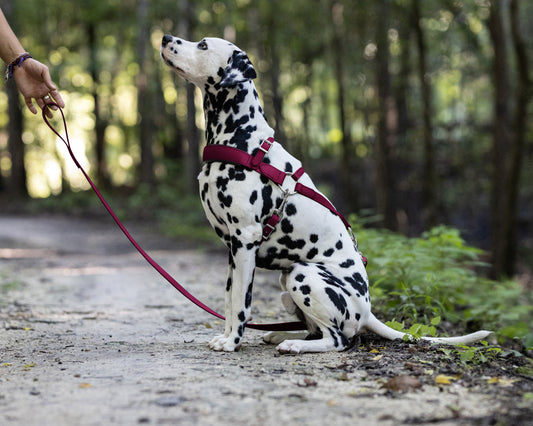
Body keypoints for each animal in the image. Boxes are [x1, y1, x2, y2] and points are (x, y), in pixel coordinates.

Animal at [159, 35, 490, 352]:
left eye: (202, 45)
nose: (164, 38)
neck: (243, 140)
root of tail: (367, 312)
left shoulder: (245, 240)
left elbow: (242, 303)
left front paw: (232, 343)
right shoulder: (233, 249)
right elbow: (230, 300)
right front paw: (227, 337)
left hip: (303, 275)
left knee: (338, 340)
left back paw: (292, 344)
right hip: (287, 280)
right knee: (315, 330)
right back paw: (281, 336)